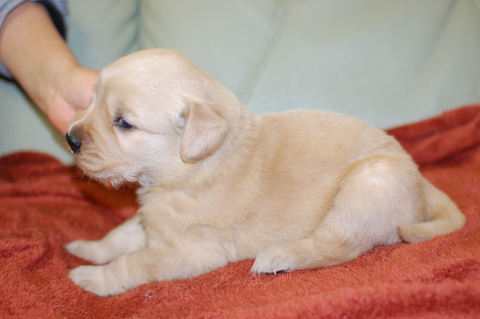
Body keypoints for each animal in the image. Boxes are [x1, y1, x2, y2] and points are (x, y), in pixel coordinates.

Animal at [63, 48, 464, 298]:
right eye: (92, 100)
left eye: (123, 122)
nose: (69, 138)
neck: (201, 164)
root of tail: (419, 179)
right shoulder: (153, 220)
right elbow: (120, 236)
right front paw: (87, 249)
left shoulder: (187, 253)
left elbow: (131, 264)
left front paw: (90, 277)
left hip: (366, 187)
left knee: (337, 245)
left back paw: (279, 256)